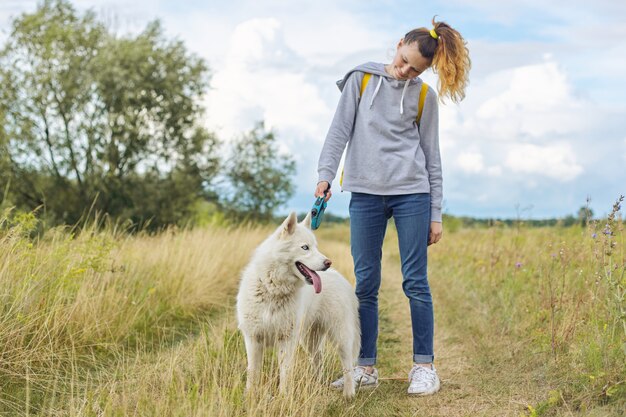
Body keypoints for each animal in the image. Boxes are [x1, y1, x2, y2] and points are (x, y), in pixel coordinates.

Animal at [235, 211, 360, 396]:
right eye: (305, 247)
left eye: (315, 246)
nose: (328, 262)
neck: (273, 289)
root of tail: (341, 278)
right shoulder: (253, 339)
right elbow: (253, 372)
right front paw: (249, 395)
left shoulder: (287, 340)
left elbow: (285, 372)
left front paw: (283, 397)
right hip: (310, 340)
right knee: (318, 359)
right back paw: (317, 384)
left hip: (340, 336)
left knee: (348, 365)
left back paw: (349, 393)